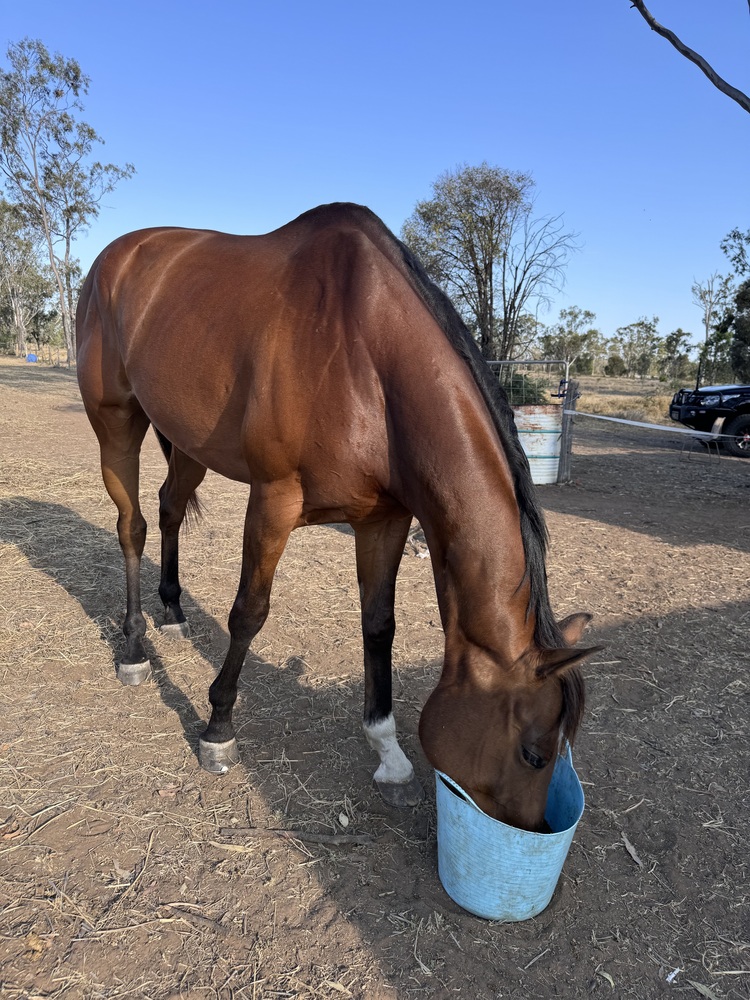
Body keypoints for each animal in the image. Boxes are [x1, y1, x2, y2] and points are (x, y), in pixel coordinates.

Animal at [76, 202, 598, 832]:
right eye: (533, 753)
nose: (537, 832)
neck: (366, 361)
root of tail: (116, 256)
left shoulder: (383, 521)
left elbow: (379, 626)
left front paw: (388, 752)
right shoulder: (272, 502)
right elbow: (249, 613)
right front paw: (218, 727)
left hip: (189, 445)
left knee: (169, 507)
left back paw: (173, 611)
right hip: (115, 423)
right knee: (132, 526)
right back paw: (133, 650)